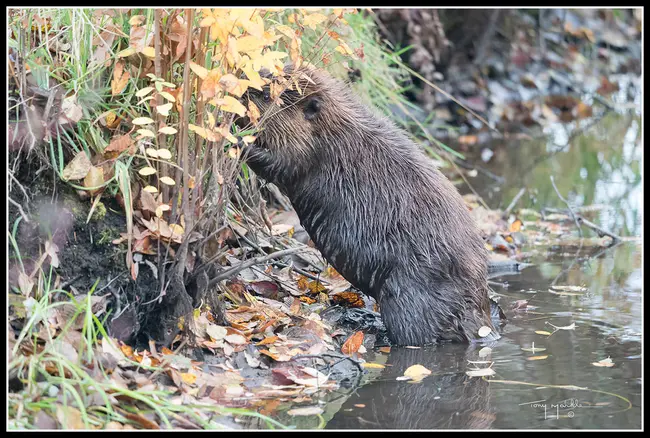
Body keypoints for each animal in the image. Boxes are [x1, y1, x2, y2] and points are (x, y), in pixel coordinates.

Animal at [238, 66, 496, 346]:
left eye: (265, 95)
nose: (240, 90)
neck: (335, 130)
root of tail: (482, 325)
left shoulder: (310, 153)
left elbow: (279, 164)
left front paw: (239, 141)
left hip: (410, 294)